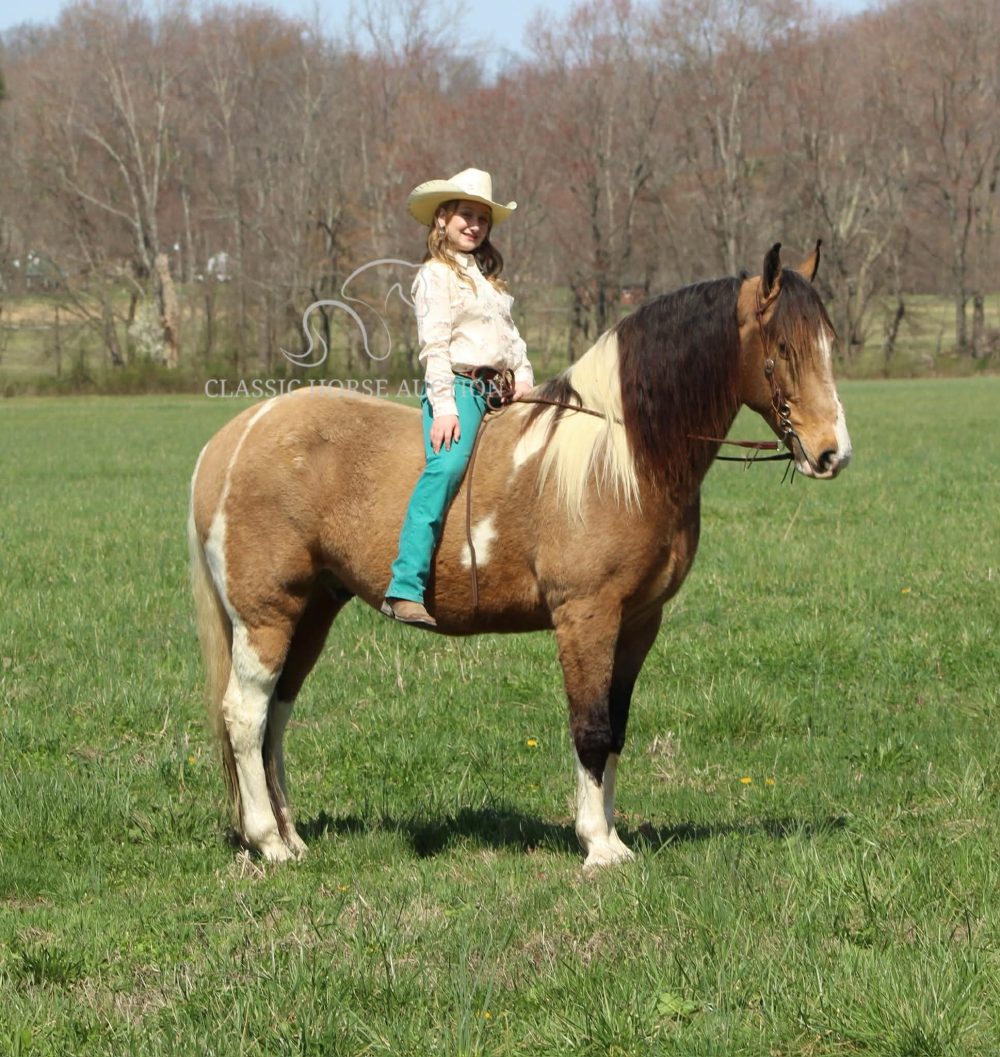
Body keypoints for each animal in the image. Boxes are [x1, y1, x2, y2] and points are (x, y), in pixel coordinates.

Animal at [188, 242, 851, 868]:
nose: (832, 453)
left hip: (313, 613)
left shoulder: (639, 621)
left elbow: (616, 728)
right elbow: (591, 728)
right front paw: (598, 846)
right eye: (783, 347)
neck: (621, 457)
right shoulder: (586, 616)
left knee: (275, 717)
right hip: (266, 617)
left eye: (829, 342)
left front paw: (612, 836)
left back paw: (292, 838)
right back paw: (268, 842)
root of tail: (235, 437)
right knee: (245, 716)